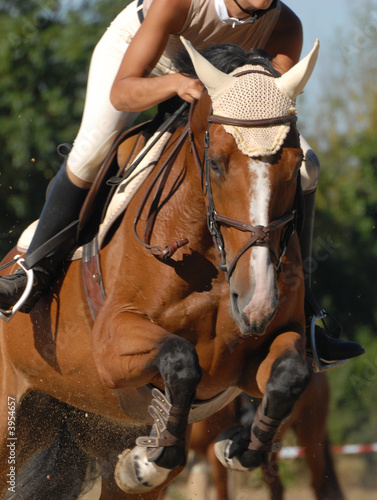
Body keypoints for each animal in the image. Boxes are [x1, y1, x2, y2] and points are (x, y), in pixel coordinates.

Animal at [0, 37, 318, 498]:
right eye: (216, 162)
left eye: (296, 168)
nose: (256, 302)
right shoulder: (110, 344)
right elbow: (181, 359)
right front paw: (149, 459)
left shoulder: (255, 356)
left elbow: (289, 374)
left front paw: (239, 448)